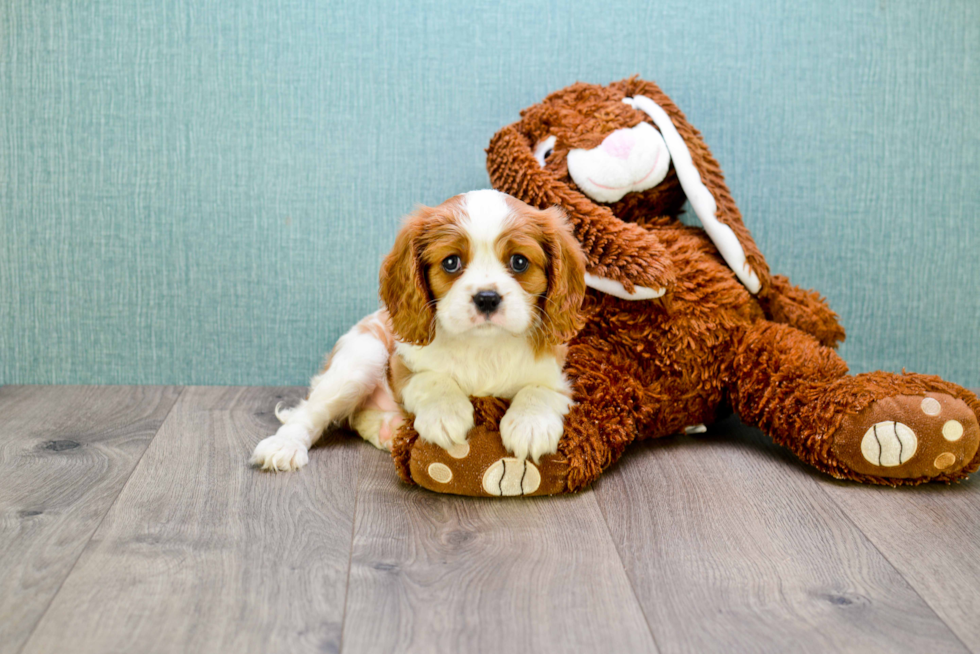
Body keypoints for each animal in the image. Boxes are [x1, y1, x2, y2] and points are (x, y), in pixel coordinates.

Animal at [253, 190, 584, 472]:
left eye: (519, 262)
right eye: (451, 262)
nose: (487, 298)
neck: (483, 345)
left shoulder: (558, 374)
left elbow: (539, 390)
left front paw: (530, 425)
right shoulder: (403, 364)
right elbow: (430, 379)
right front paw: (445, 414)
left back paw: (387, 429)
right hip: (362, 357)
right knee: (310, 412)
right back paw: (284, 446)